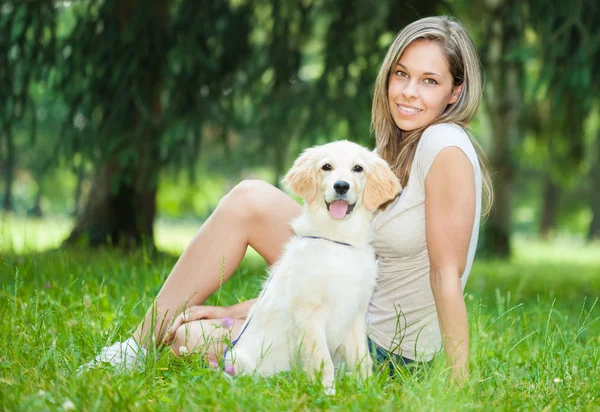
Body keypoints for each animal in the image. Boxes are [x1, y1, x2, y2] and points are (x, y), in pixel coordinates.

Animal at [223, 140, 400, 394]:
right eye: (326, 167)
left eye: (358, 168)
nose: (341, 186)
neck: (338, 241)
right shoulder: (309, 314)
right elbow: (322, 360)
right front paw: (328, 393)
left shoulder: (355, 313)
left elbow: (362, 358)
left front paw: (367, 390)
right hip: (238, 361)